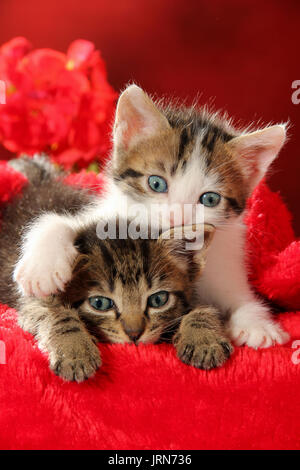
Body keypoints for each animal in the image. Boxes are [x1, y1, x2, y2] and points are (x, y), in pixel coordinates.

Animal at [0, 158, 232, 382]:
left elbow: (204, 309)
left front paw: (204, 340)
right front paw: (74, 352)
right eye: (100, 304)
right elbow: (57, 315)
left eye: (158, 300)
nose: (134, 334)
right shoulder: (34, 302)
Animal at [12, 85, 290, 348]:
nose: (177, 218)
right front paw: (42, 268)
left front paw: (257, 324)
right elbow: (62, 223)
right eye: (156, 183)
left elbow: (241, 297)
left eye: (210, 199)